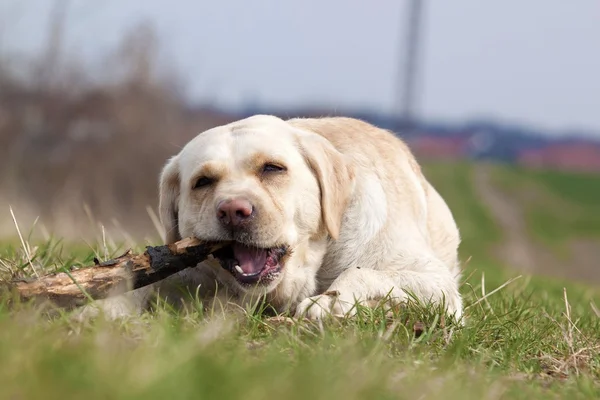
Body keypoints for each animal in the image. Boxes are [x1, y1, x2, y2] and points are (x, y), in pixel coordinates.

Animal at [81, 115, 464, 322]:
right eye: (203, 182)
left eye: (272, 168)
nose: (233, 210)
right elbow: (137, 284)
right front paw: (101, 308)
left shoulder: (438, 285)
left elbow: (362, 272)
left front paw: (328, 302)